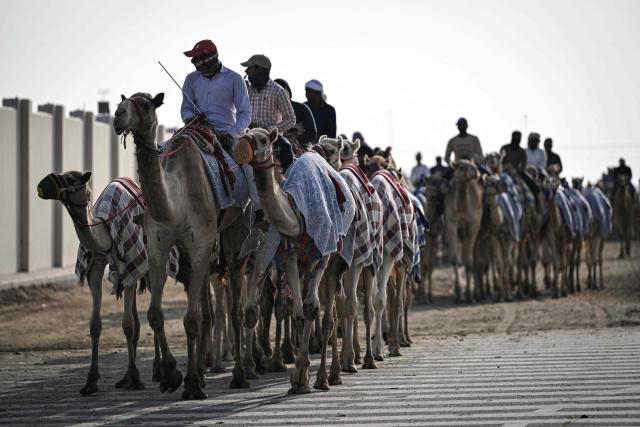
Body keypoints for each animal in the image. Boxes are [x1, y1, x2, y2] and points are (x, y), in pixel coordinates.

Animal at [37, 171, 151, 395]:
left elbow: (127, 324)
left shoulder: (132, 263)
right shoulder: (95, 267)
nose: (42, 184)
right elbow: (95, 324)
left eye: (70, 179)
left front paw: (135, 377)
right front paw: (91, 381)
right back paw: (128, 378)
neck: (106, 227)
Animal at [113, 92, 254, 399]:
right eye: (123, 100)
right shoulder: (158, 248)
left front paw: (190, 383)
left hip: (235, 240)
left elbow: (191, 318)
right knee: (209, 314)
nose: (118, 116)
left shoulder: (200, 244)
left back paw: (240, 374)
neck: (174, 206)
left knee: (236, 308)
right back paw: (203, 370)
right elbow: (156, 315)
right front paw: (171, 374)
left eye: (145, 103)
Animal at [234, 128, 355, 393]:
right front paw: (298, 377)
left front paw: (307, 376)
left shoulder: (322, 254)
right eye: (246, 132)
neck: (297, 217)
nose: (239, 147)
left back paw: (330, 375)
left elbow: (311, 308)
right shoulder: (289, 257)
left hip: (334, 260)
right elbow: (298, 313)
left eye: (263, 139)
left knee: (331, 315)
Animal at [442, 159, 483, 303]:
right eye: (461, 167)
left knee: (475, 258)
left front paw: (469, 295)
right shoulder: (451, 225)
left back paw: (477, 293)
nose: (475, 171)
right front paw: (458, 294)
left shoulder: (473, 226)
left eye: (472, 165)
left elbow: (468, 261)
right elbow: (455, 259)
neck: (462, 207)